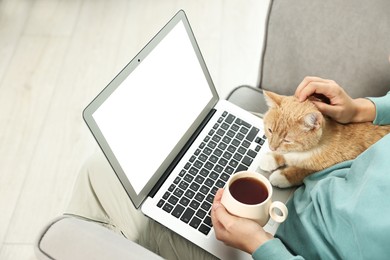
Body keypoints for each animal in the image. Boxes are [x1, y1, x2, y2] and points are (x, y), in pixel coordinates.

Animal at [258, 90, 390, 188]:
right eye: (270, 130)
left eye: (287, 140)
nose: (271, 147)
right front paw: (271, 158)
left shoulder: (336, 164)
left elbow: (303, 170)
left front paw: (282, 176)